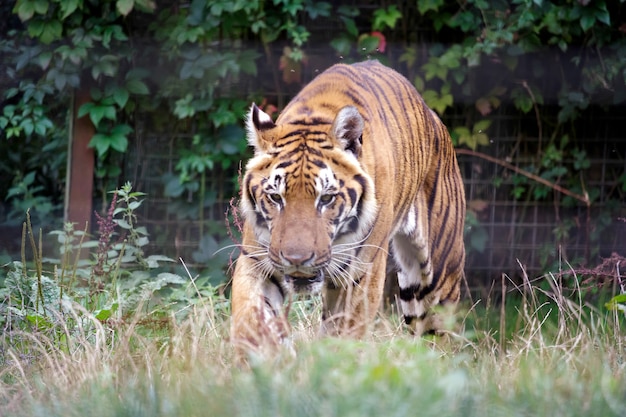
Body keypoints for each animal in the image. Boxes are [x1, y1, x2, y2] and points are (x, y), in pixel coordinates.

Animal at [229, 59, 464, 348]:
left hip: (436, 277)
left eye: (326, 198)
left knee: (436, 334)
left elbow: (348, 334)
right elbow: (250, 319)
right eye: (276, 197)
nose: (296, 260)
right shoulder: (257, 260)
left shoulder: (361, 274)